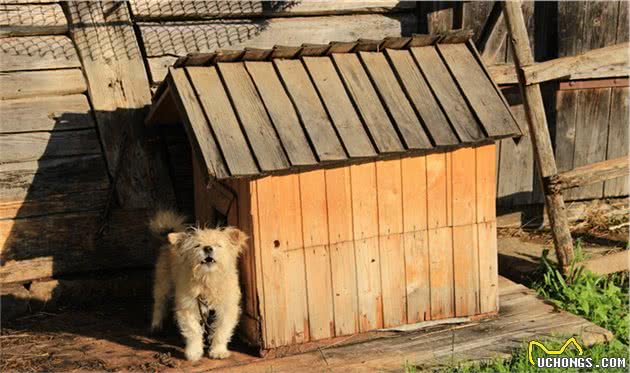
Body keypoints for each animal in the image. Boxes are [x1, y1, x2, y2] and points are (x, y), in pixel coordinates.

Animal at [148, 208, 247, 358]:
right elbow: (193, 331)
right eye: (197, 246)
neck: (207, 280)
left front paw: (218, 351)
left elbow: (221, 331)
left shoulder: (226, 309)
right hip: (163, 285)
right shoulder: (188, 307)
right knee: (159, 304)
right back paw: (156, 325)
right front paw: (194, 352)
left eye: (218, 245)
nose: (208, 248)